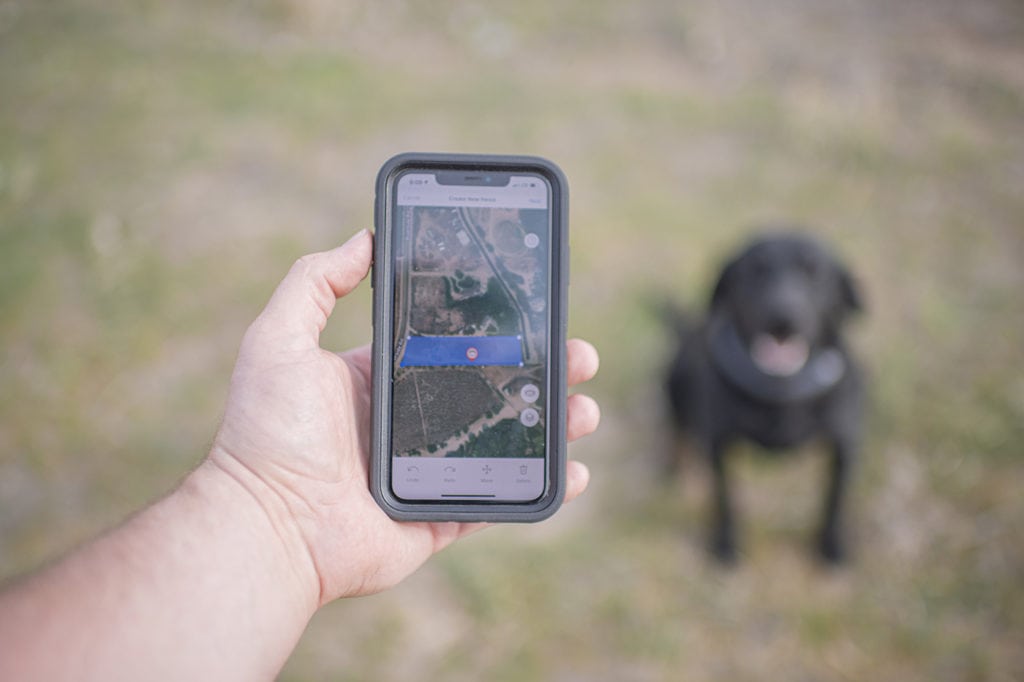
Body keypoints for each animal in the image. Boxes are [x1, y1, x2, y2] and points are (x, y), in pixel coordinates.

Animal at [663, 232, 864, 561]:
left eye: (814, 272)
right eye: (755, 270)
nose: (782, 317)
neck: (782, 389)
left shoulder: (845, 446)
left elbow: (835, 499)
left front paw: (832, 545)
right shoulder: (718, 444)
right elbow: (725, 499)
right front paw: (726, 543)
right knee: (676, 433)